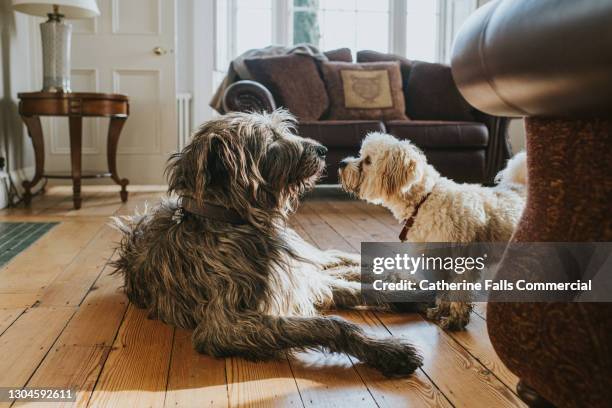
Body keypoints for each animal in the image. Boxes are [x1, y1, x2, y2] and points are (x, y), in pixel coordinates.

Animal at [111, 110, 420, 378]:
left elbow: (353, 289)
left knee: (332, 260)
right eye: (271, 141)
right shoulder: (227, 324)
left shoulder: (295, 280)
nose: (322, 150)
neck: (232, 220)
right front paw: (386, 350)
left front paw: (402, 297)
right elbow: (332, 323)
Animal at [340, 132, 524, 330]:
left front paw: (455, 320)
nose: (341, 163)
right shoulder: (436, 260)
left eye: (367, 160)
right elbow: (443, 289)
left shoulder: (464, 264)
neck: (424, 201)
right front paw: (441, 311)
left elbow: (459, 294)